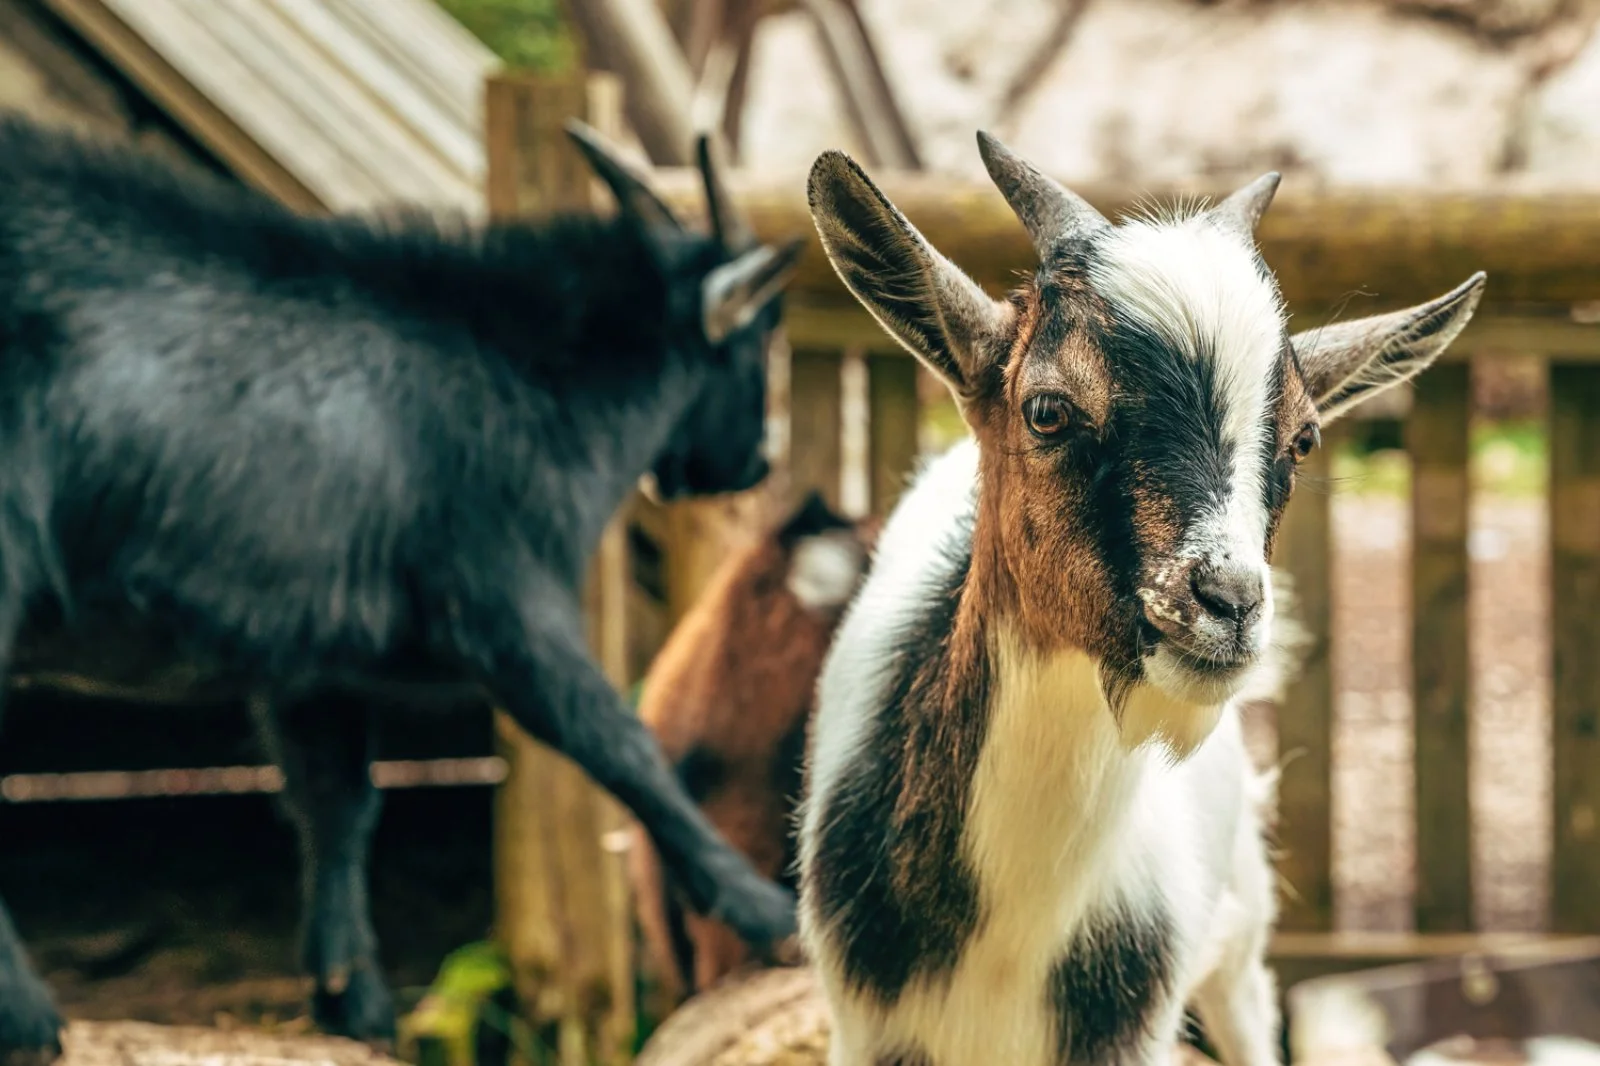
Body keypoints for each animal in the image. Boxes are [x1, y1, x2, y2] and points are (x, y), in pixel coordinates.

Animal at [0, 114, 804, 1060]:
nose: (755, 462)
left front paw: (353, 1000)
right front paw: (769, 913)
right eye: (758, 336)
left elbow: (338, 803)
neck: (535, 378)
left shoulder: (312, 654)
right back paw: (27, 1014)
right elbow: (621, 747)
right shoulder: (504, 597)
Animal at [797, 134, 1486, 1066]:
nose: (1227, 604)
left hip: (1240, 941)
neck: (1011, 945)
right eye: (1047, 410)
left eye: (1304, 439)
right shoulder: (867, 1031)